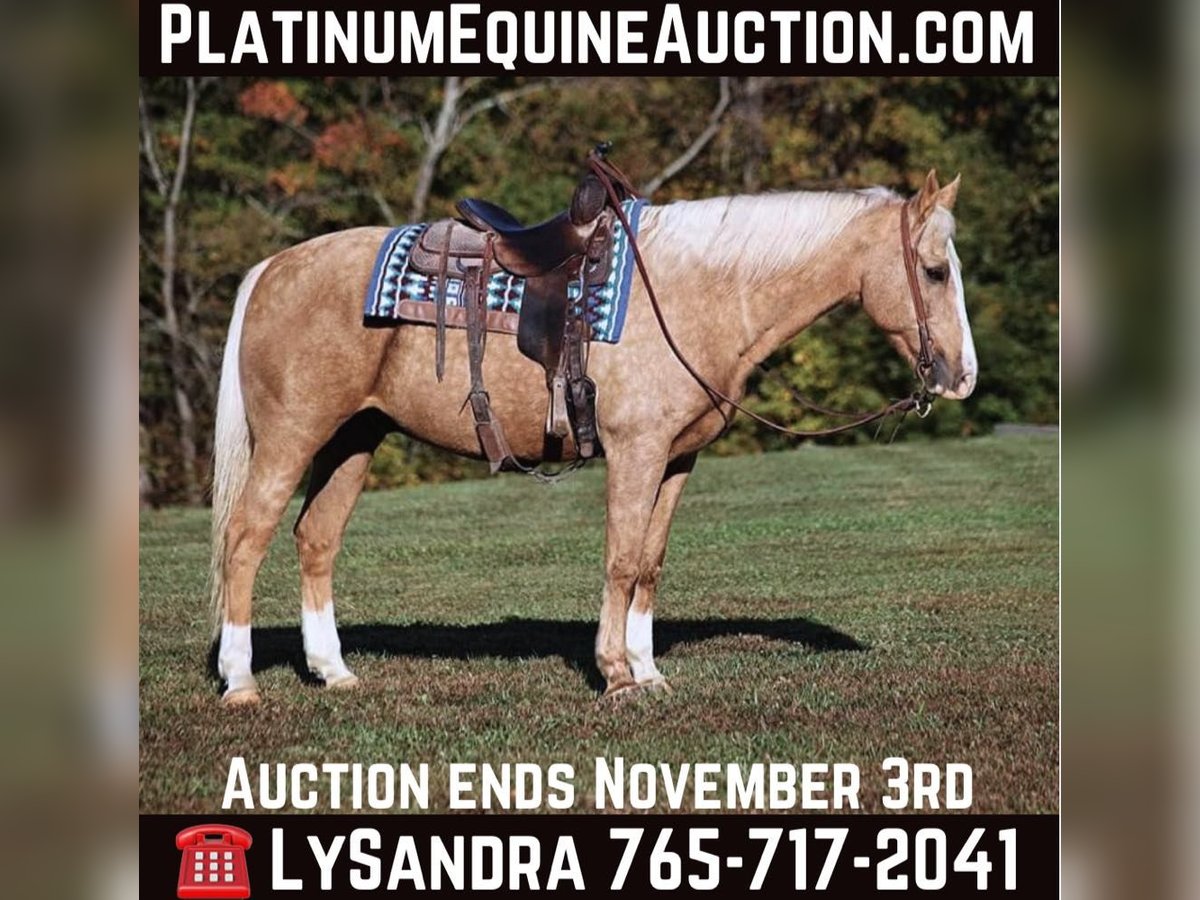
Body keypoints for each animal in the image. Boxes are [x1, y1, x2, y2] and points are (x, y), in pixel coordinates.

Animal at [209, 169, 976, 706]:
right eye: (935, 271)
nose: (961, 376)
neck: (697, 293)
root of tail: (273, 268)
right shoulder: (636, 451)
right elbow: (620, 559)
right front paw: (616, 674)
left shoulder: (677, 459)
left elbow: (649, 564)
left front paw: (647, 669)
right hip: (293, 436)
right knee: (246, 540)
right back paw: (241, 682)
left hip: (354, 439)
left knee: (316, 539)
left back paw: (333, 672)